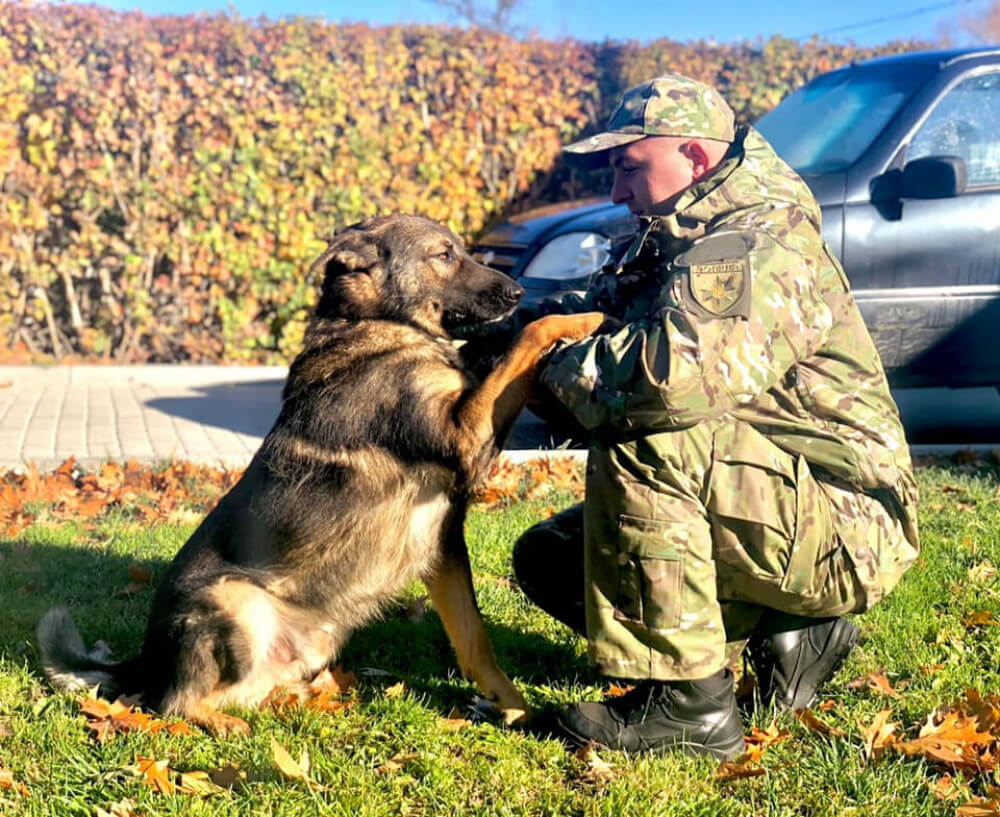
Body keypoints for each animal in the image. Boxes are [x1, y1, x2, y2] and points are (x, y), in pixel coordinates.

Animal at [37, 212, 600, 732]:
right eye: (444, 255)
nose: (519, 291)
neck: (381, 326)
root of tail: (146, 662)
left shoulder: (443, 543)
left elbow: (474, 639)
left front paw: (514, 708)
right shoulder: (465, 435)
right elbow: (522, 345)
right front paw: (586, 318)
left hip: (314, 641)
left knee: (242, 692)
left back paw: (301, 697)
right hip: (236, 602)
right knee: (173, 703)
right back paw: (223, 721)